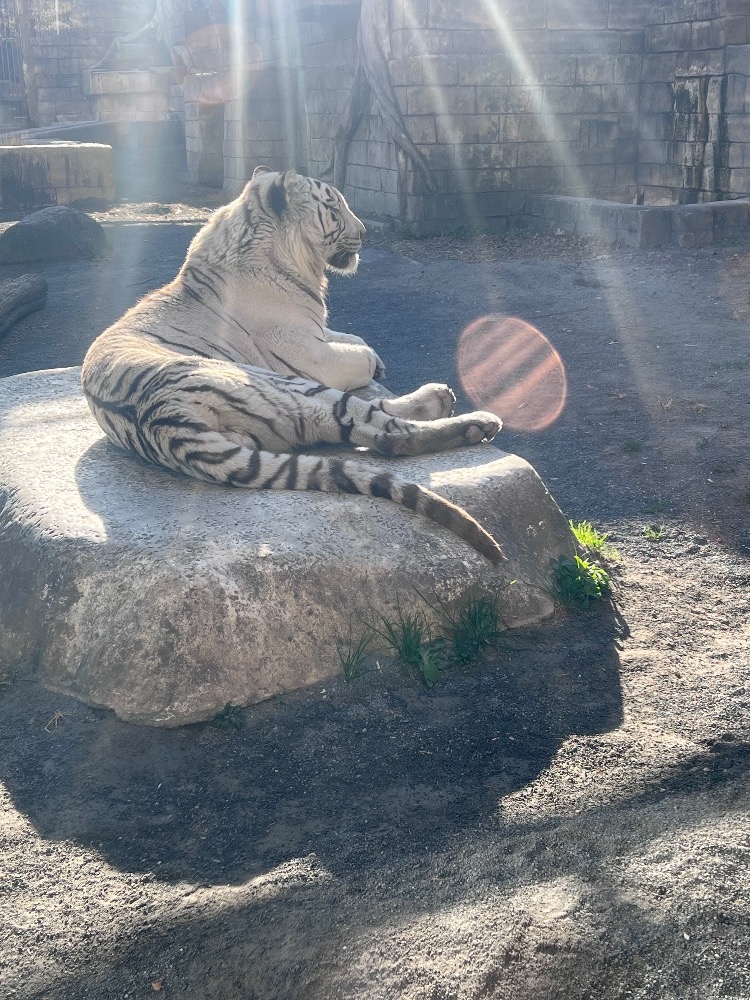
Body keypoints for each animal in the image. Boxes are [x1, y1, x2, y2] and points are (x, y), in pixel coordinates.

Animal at [81, 166, 505, 563]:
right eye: (333, 208)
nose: (365, 232)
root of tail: (163, 423)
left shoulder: (317, 332)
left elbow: (353, 338)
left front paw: (376, 358)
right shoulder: (309, 354)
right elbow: (358, 356)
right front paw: (374, 363)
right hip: (287, 384)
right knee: (387, 433)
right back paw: (472, 419)